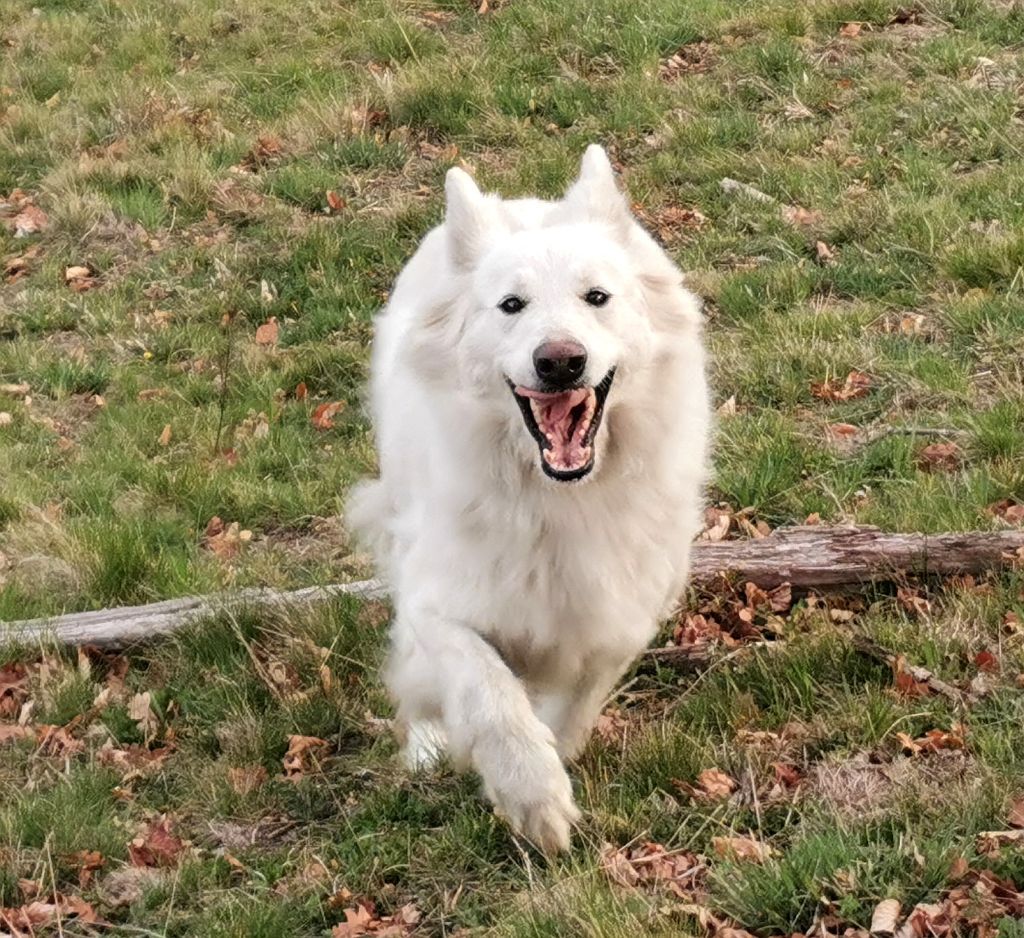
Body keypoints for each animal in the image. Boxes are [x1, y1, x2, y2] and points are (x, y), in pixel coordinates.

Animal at [348, 144, 708, 851]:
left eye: (596, 297)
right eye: (511, 305)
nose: (560, 361)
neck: (557, 497)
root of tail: (520, 199)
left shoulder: (620, 613)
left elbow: (579, 700)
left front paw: (555, 761)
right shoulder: (439, 603)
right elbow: (484, 689)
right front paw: (531, 795)